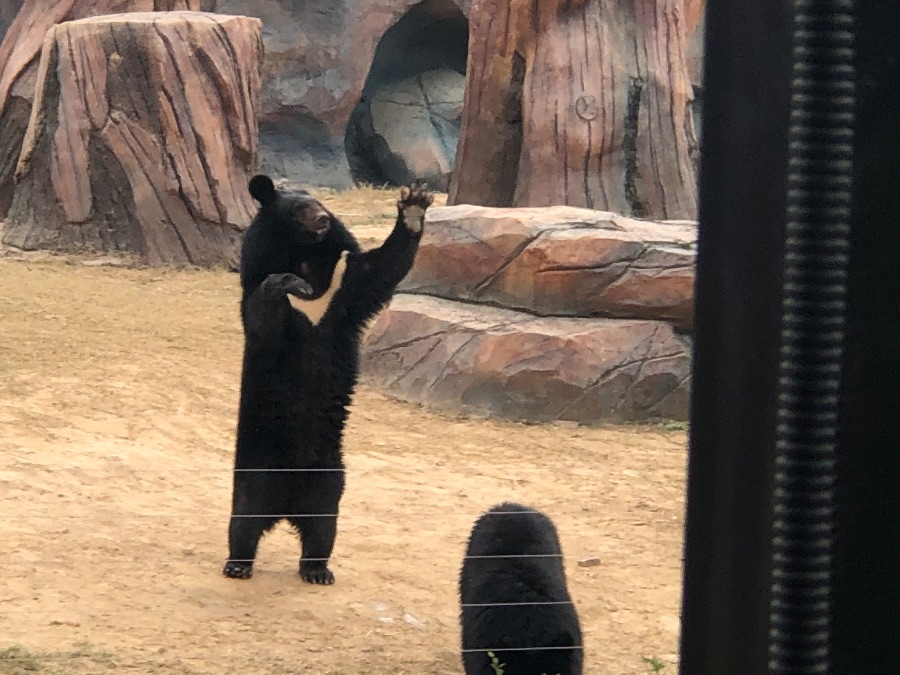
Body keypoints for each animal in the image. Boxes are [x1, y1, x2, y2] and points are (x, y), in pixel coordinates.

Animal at [223, 174, 434, 584]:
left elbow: (378, 270)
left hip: (330, 477)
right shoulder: (260, 282)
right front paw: (290, 283)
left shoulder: (342, 282)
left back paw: (317, 570)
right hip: (257, 467)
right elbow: (263, 314)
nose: (322, 219)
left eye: (322, 204)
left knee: (322, 527)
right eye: (300, 208)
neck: (305, 256)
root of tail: (287, 507)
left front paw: (414, 206)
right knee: (244, 519)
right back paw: (238, 564)